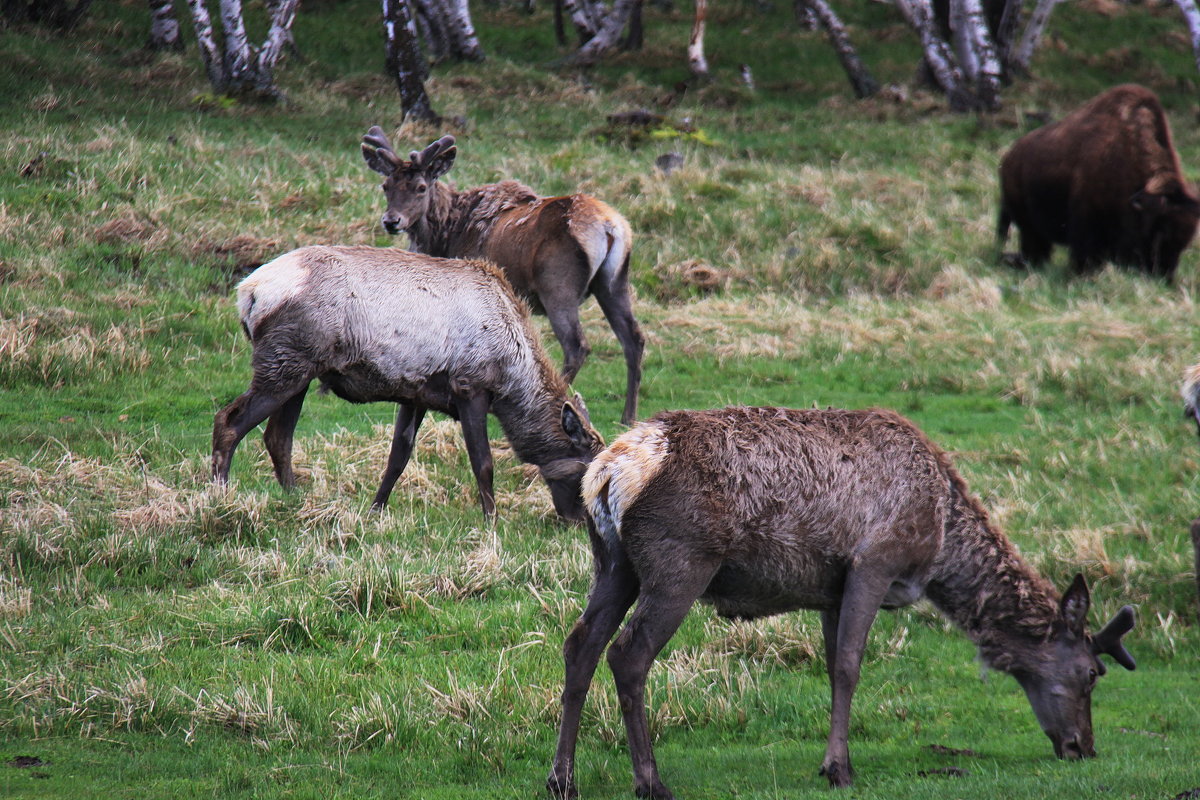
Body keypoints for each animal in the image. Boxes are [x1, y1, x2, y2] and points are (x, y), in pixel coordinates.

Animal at [212, 247, 604, 522]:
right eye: (583, 472)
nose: (578, 521)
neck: (511, 375)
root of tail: (248, 293)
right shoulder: (470, 386)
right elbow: (484, 462)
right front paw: (492, 520)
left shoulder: (416, 394)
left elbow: (397, 458)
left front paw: (375, 510)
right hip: (285, 362)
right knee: (229, 420)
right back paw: (219, 498)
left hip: (301, 371)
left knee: (278, 437)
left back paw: (296, 499)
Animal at [360, 130, 648, 429]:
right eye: (386, 185)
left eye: (420, 187)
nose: (391, 221)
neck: (445, 237)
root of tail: (610, 226)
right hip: (614, 282)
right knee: (634, 338)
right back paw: (628, 417)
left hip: (558, 286)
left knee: (577, 345)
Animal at [549, 410, 1137, 796]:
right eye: (1092, 673)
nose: (1083, 747)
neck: (940, 539)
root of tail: (608, 472)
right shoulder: (873, 563)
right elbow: (852, 667)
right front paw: (840, 769)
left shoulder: (830, 589)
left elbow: (833, 665)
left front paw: (829, 762)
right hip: (681, 561)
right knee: (628, 654)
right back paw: (650, 782)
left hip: (614, 563)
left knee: (580, 643)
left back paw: (563, 778)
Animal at [993, 84, 1200, 283]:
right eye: (1161, 232)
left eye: (1186, 241)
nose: (1164, 278)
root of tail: (1008, 159)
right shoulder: (1087, 221)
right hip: (1029, 227)